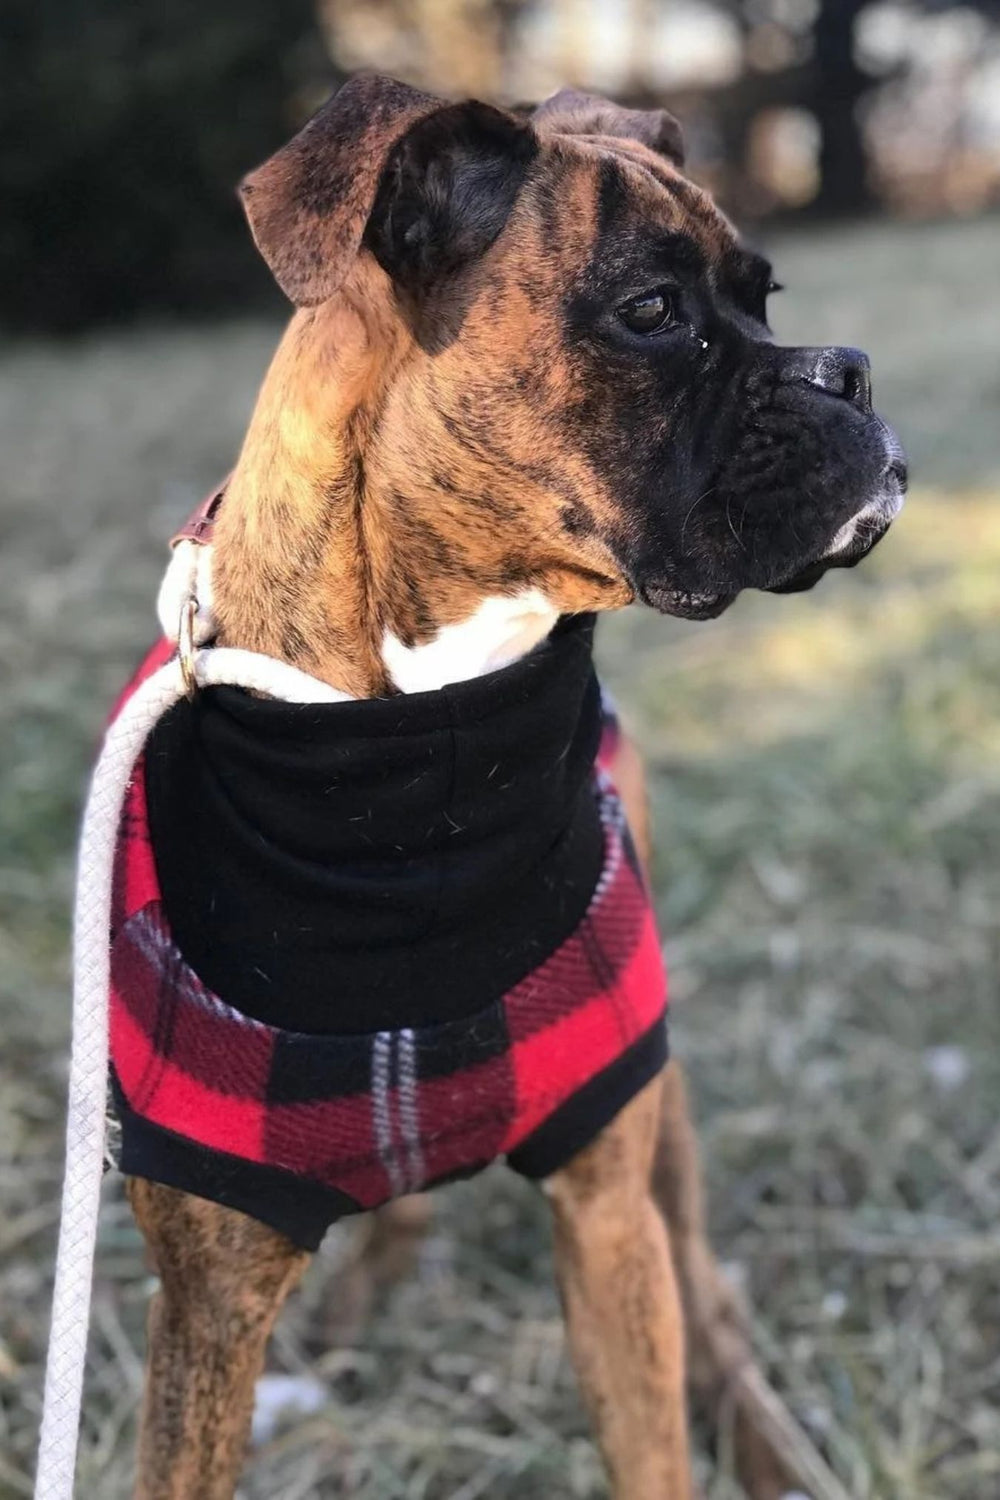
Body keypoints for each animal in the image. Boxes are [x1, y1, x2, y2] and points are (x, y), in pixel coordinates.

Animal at [127, 73, 905, 1500]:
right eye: (650, 312)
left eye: (764, 300)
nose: (849, 371)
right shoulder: (205, 1300)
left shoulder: (609, 1220)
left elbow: (652, 1429)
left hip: (664, 1136)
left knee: (706, 1290)